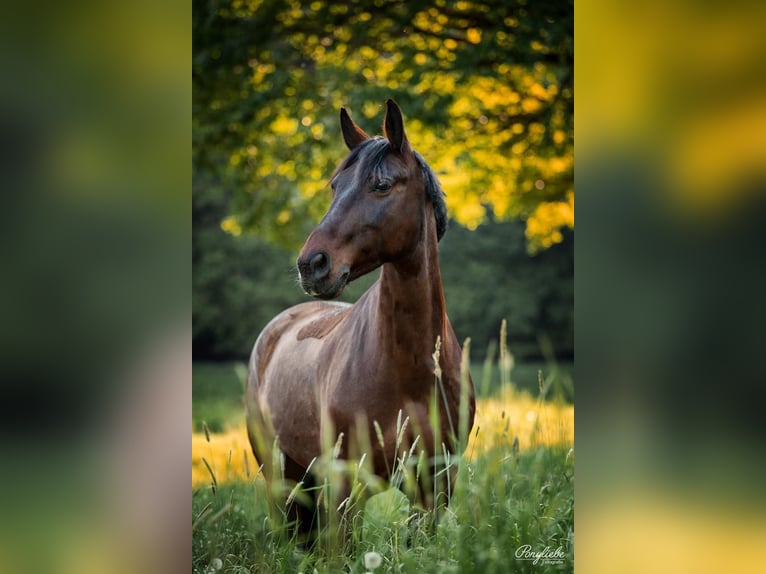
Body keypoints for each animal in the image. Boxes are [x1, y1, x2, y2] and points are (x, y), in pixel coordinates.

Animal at [246, 99, 475, 534]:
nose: (312, 265)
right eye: (336, 186)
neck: (411, 371)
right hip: (283, 480)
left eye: (381, 184)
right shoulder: (345, 487)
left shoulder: (434, 487)